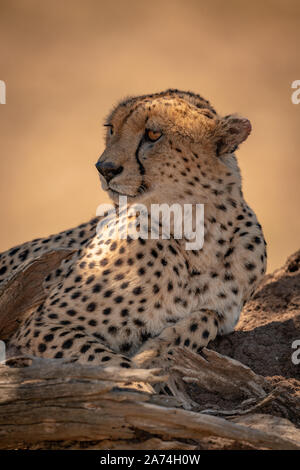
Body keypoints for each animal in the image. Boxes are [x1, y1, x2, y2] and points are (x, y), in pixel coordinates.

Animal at [1, 90, 266, 378]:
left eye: (153, 134)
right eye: (112, 129)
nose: (104, 168)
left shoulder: (221, 312)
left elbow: (203, 322)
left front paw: (155, 354)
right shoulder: (40, 326)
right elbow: (114, 366)